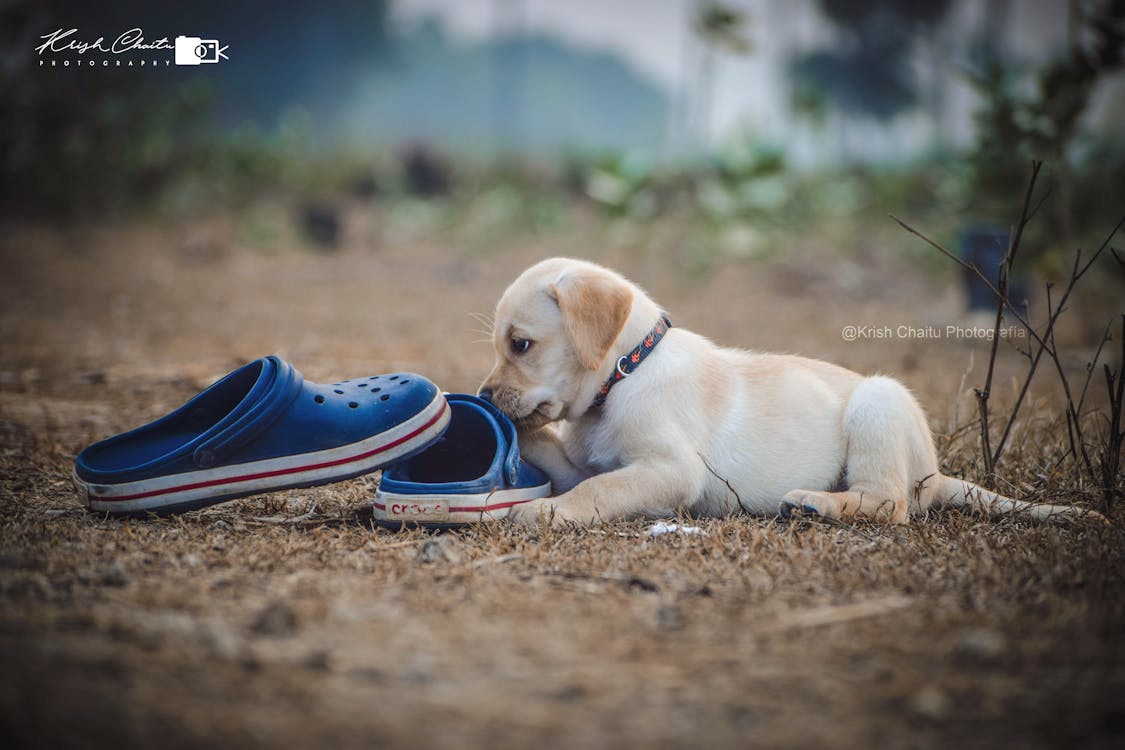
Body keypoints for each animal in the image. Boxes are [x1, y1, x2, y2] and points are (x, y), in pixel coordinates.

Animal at [481, 258, 1098, 528]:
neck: (626, 373)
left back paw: (816, 502)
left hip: (877, 404)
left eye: (521, 344)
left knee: (889, 505)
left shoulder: (670, 469)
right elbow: (569, 463)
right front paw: (524, 441)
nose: (484, 397)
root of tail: (935, 472)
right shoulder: (586, 461)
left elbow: (600, 491)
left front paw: (547, 512)